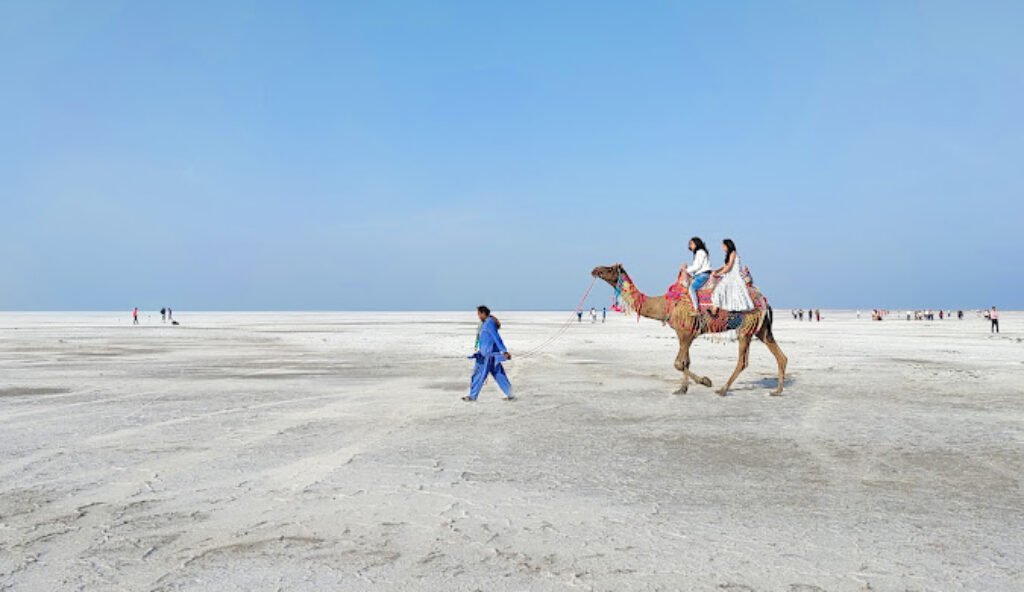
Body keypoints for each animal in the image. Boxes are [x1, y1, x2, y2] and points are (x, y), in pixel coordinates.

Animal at [589, 264, 786, 393]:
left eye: (609, 268)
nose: (595, 269)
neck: (665, 304)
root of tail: (764, 299)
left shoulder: (687, 332)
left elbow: (678, 363)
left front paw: (706, 381)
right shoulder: (684, 333)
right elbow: (686, 362)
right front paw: (683, 389)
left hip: (746, 326)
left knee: (743, 361)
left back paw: (723, 389)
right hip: (761, 328)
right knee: (780, 356)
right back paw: (777, 391)